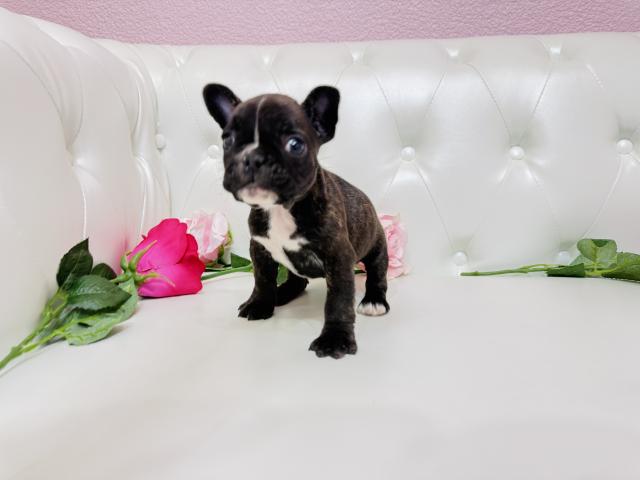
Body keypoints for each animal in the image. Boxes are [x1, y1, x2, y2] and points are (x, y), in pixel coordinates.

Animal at [202, 84, 389, 359]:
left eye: (295, 144)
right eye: (228, 141)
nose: (252, 157)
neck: (280, 209)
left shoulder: (338, 256)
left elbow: (339, 300)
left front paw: (335, 338)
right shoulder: (260, 249)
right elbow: (262, 280)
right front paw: (259, 304)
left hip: (376, 244)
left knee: (377, 272)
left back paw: (374, 300)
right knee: (297, 281)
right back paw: (280, 294)